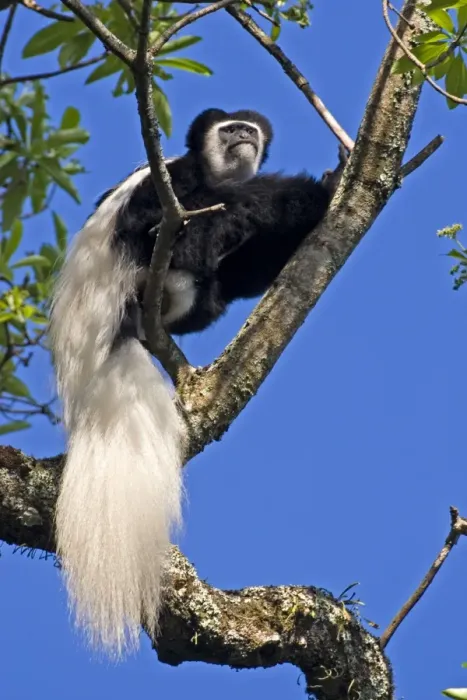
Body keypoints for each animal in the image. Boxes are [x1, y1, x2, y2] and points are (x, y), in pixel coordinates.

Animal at [49, 108, 347, 659]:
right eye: (229, 129)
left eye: (249, 132)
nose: (244, 135)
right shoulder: (175, 175)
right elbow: (169, 210)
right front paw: (323, 186)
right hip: (154, 254)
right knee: (219, 214)